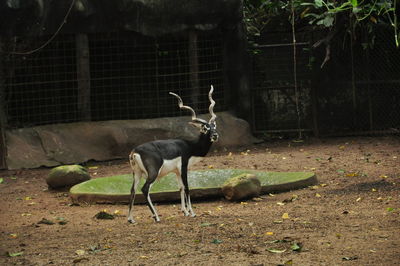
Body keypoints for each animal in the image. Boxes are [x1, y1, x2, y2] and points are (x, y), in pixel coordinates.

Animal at [128, 85, 219, 222]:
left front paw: (184, 212)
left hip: (137, 173)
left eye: (214, 126)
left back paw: (130, 219)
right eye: (205, 128)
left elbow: (180, 188)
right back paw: (156, 217)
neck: (190, 146)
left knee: (132, 190)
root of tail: (135, 151)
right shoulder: (183, 167)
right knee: (145, 189)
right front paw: (192, 213)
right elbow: (187, 188)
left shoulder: (176, 171)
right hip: (153, 173)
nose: (215, 135)